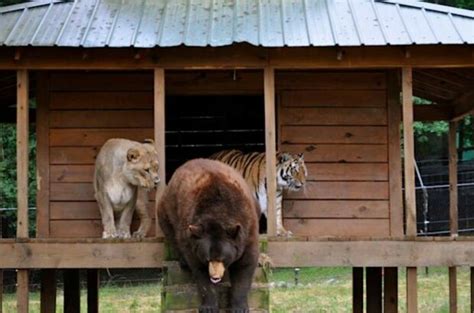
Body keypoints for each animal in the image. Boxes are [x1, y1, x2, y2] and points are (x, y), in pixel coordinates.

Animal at [157, 160, 260, 310]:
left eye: (223, 258)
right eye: (207, 259)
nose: (215, 277)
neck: (217, 212)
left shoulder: (247, 227)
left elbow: (245, 265)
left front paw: (239, 307)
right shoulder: (191, 237)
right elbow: (200, 270)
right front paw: (209, 305)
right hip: (167, 209)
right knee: (172, 233)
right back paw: (182, 260)